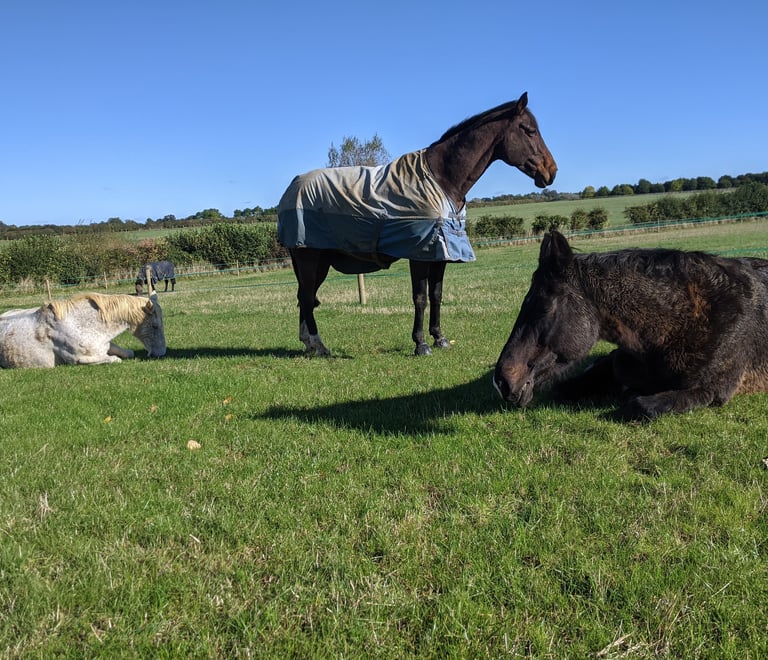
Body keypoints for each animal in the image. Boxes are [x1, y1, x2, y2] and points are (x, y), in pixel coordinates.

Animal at [0, 292, 166, 368]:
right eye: (155, 326)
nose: (161, 354)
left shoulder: (106, 345)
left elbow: (129, 353)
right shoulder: (78, 359)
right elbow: (114, 359)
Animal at [278, 92, 557, 356]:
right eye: (529, 130)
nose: (551, 171)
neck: (442, 179)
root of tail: (291, 189)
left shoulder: (441, 254)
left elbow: (436, 295)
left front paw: (440, 338)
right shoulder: (421, 254)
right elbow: (420, 298)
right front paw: (421, 344)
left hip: (320, 262)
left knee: (305, 297)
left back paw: (308, 343)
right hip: (309, 258)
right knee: (306, 298)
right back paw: (319, 345)